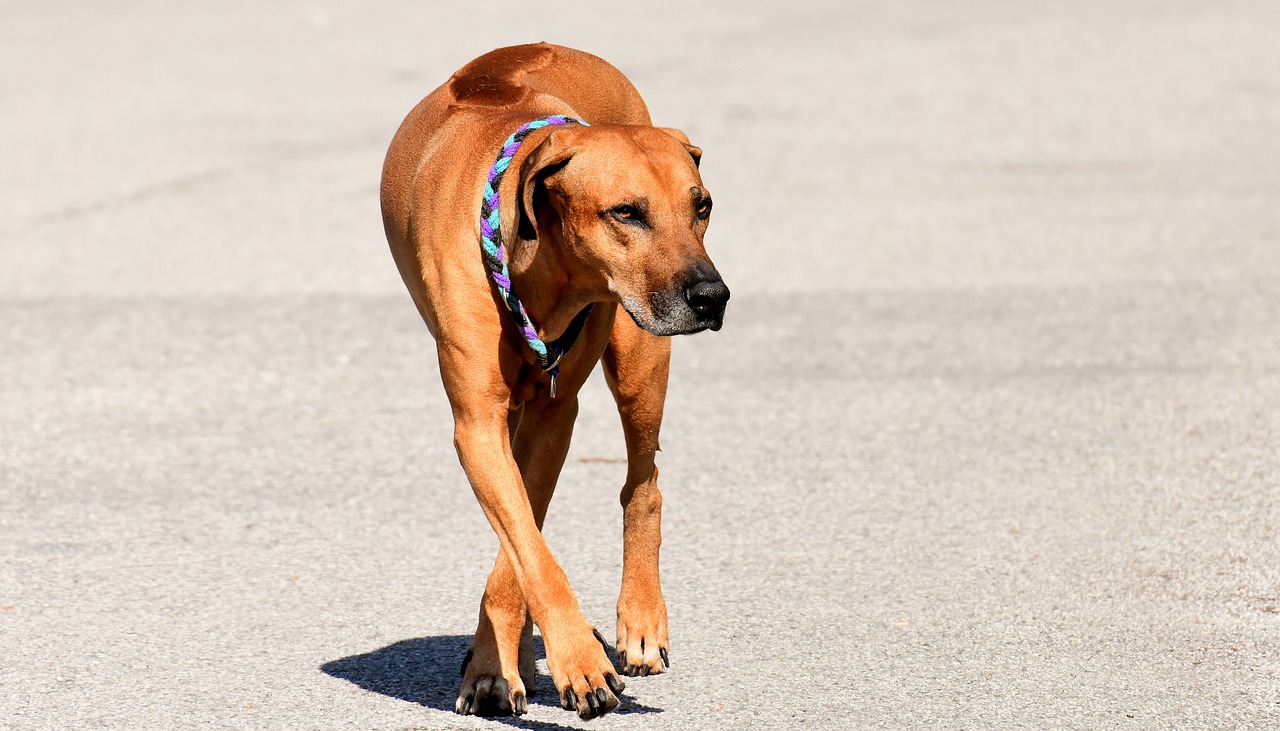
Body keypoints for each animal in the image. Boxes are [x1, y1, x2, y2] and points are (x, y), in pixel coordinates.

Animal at [376, 44, 732, 722]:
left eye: (700, 206)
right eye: (626, 212)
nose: (712, 296)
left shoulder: (553, 413)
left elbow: (523, 548)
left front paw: (505, 662)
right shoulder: (479, 424)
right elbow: (527, 546)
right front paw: (514, 665)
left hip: (641, 359)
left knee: (643, 484)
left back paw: (640, 620)